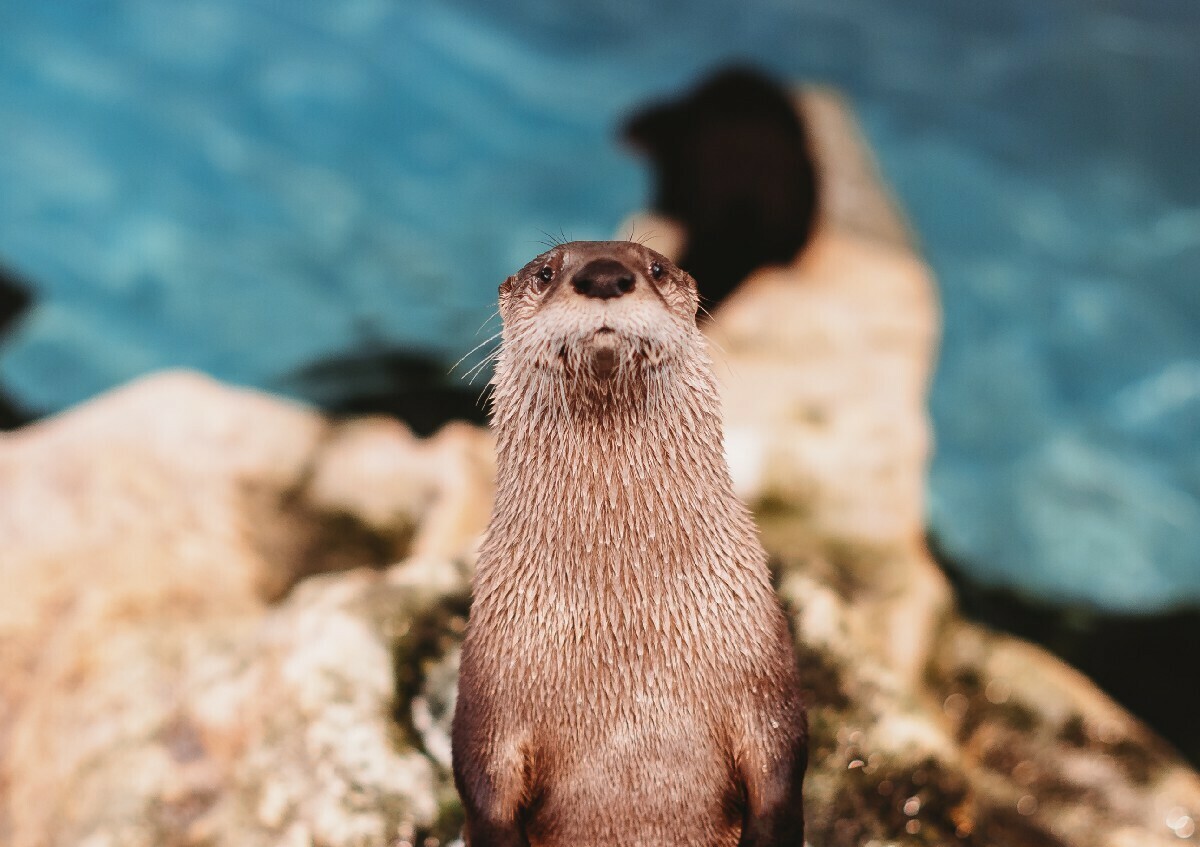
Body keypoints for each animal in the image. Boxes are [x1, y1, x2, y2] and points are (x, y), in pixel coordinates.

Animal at [451, 238, 806, 844]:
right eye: (545, 272)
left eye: (657, 268)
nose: (604, 275)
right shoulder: (486, 702)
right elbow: (481, 791)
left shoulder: (768, 686)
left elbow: (782, 777)